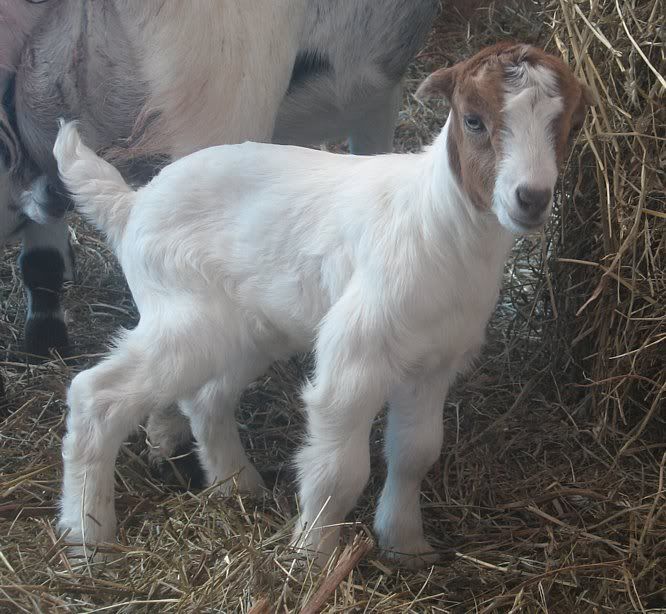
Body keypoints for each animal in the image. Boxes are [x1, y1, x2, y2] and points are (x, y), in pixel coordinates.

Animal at [53, 43, 593, 568]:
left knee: (207, 399)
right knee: (95, 397)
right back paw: (88, 541)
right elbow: (339, 471)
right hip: (184, 314)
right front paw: (312, 555)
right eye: (474, 120)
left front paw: (406, 545)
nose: (531, 198)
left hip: (248, 329)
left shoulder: (434, 363)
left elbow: (415, 454)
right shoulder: (356, 354)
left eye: (569, 125)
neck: (441, 225)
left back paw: (238, 485)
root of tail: (132, 206)